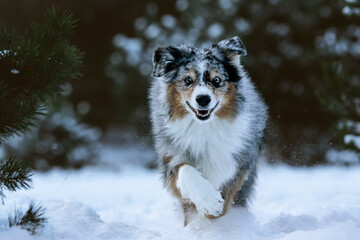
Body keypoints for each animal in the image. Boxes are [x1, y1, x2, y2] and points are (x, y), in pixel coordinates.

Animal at [148, 36, 268, 226]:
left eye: (216, 80)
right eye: (187, 80)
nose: (203, 99)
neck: (204, 128)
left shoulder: (238, 165)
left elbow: (222, 198)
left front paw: (210, 212)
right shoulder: (170, 161)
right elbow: (186, 170)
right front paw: (209, 202)